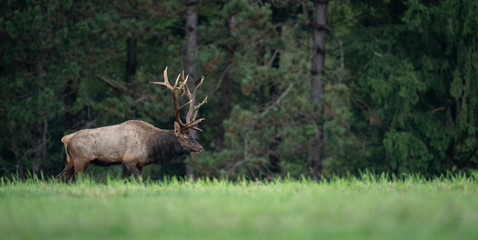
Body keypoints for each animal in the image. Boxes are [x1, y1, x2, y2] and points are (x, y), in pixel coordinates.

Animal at [57, 67, 205, 180]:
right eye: (185, 138)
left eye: (192, 136)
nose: (200, 148)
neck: (152, 146)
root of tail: (66, 139)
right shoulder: (129, 160)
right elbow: (138, 181)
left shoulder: (140, 164)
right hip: (80, 160)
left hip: (70, 161)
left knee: (59, 178)